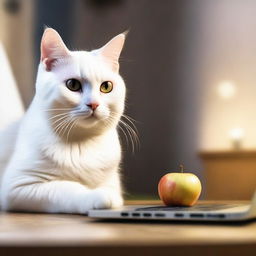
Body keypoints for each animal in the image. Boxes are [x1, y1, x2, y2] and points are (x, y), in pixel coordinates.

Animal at [0, 28, 127, 213]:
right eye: (72, 84)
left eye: (106, 87)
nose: (93, 104)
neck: (81, 144)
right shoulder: (18, 186)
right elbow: (66, 187)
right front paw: (95, 196)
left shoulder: (112, 184)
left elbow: (111, 192)